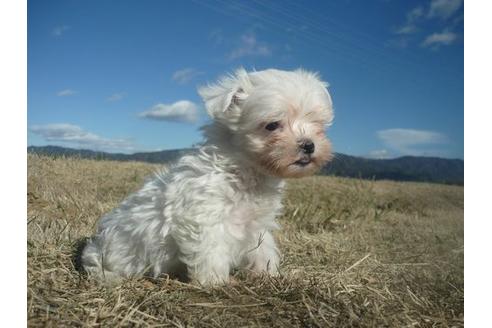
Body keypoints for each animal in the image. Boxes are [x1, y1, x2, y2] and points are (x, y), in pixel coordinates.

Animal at [81, 68, 334, 286]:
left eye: (317, 124)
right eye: (272, 125)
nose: (308, 145)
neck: (244, 170)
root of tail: (95, 247)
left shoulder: (257, 226)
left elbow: (264, 249)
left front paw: (268, 274)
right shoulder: (204, 219)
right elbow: (211, 253)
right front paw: (216, 283)